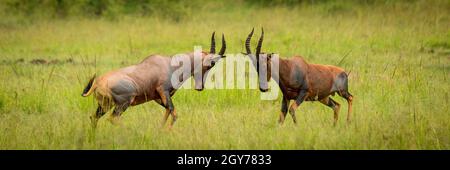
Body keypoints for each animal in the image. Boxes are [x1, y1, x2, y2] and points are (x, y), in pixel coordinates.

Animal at [81, 31, 227, 128]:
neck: (169, 64)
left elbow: (169, 111)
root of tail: (97, 82)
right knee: (112, 119)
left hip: (104, 105)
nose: (200, 87)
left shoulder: (158, 97)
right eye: (211, 64)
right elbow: (174, 113)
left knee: (94, 118)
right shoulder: (163, 91)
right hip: (123, 103)